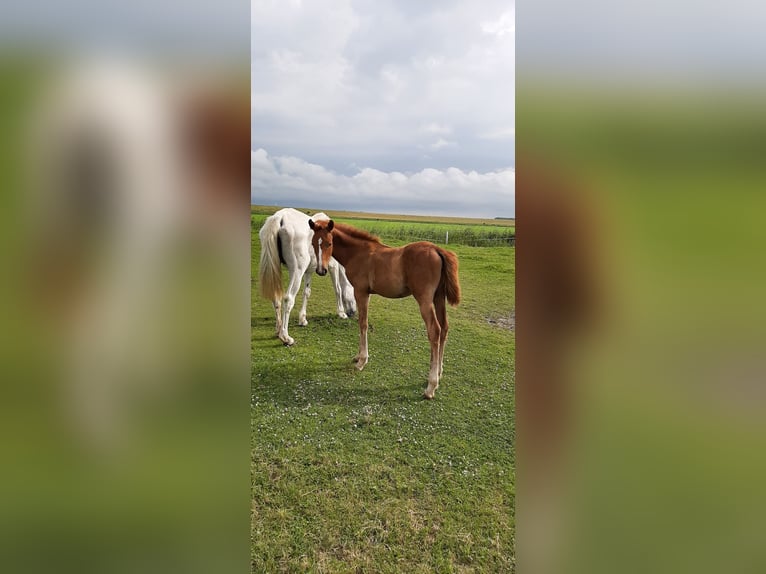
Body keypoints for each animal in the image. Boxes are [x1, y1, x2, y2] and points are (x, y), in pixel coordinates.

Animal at [256, 209, 356, 348]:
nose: (353, 312)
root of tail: (279, 217)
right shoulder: (333, 267)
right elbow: (338, 289)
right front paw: (341, 313)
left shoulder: (309, 271)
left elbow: (306, 293)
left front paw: (302, 319)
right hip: (297, 271)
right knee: (288, 299)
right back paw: (285, 337)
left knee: (276, 298)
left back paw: (278, 329)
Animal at [308, 220, 462, 400]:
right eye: (313, 243)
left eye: (329, 243)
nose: (321, 270)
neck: (358, 253)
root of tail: (437, 249)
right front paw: (357, 356)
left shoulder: (361, 292)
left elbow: (363, 324)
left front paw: (362, 361)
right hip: (438, 297)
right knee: (444, 328)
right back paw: (439, 373)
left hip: (424, 299)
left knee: (434, 331)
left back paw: (431, 386)